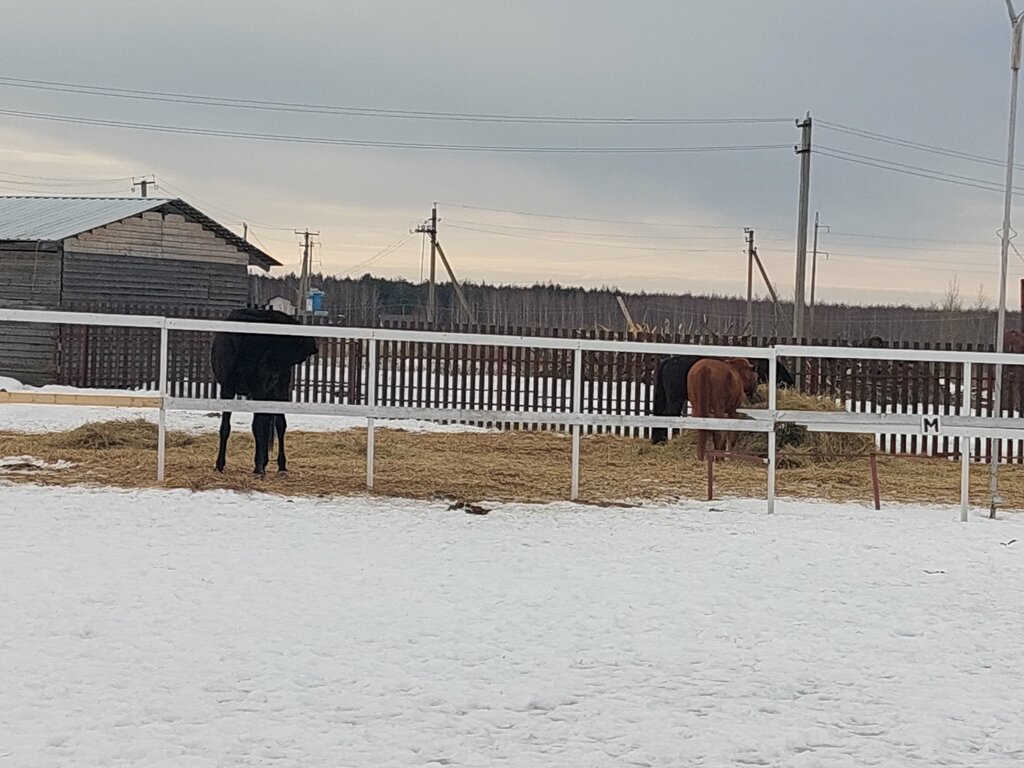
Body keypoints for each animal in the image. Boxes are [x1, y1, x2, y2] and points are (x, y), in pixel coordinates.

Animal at [209, 309, 317, 479]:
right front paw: (219, 464)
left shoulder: (259, 389)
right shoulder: (228, 389)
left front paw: (258, 466)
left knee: (278, 424)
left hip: (278, 389)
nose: (312, 345)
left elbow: (259, 425)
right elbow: (226, 427)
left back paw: (280, 465)